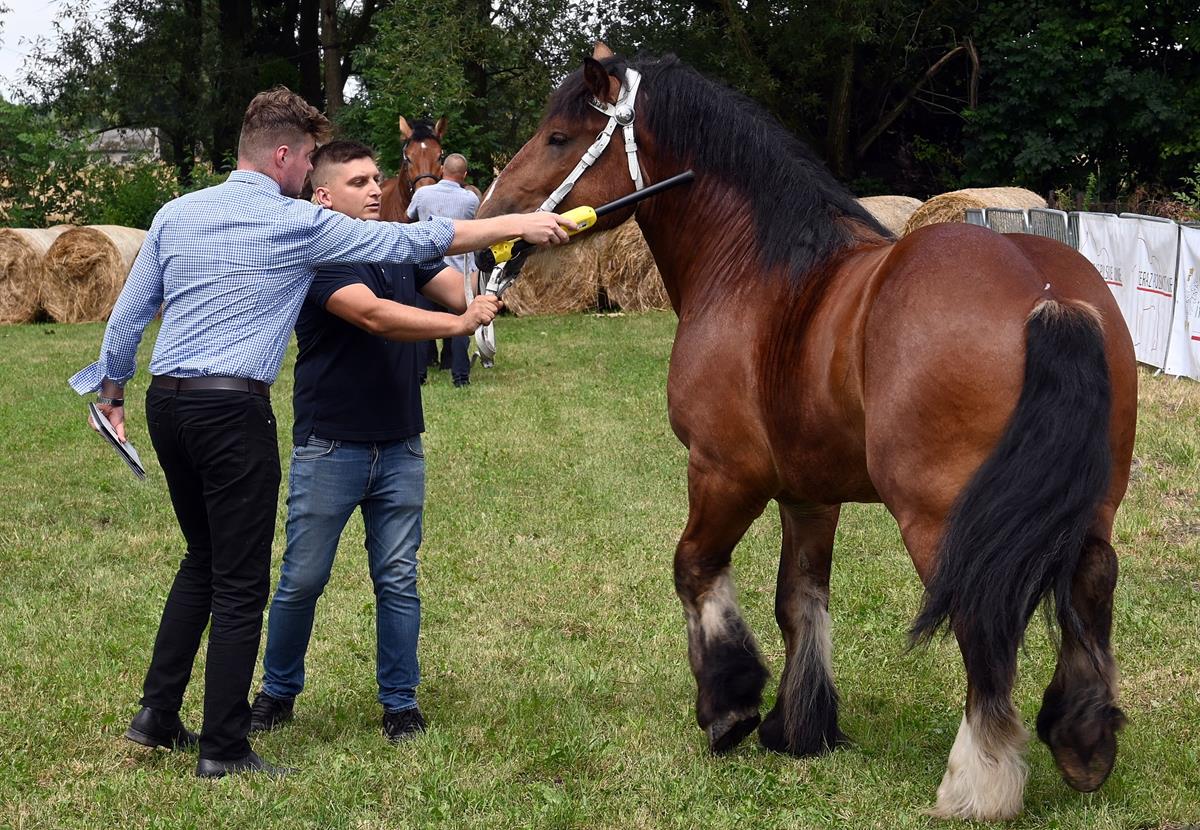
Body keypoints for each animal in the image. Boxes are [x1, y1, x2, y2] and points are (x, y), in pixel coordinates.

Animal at [477, 44, 1137, 821]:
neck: (757, 271)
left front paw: (730, 707)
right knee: (1091, 585)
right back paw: (1083, 743)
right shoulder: (809, 494)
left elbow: (695, 568)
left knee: (984, 618)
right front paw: (800, 727)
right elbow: (800, 600)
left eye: (558, 138)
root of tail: (1047, 295)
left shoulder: (723, 472)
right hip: (1088, 505)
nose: (489, 222)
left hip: (943, 518)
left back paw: (977, 784)